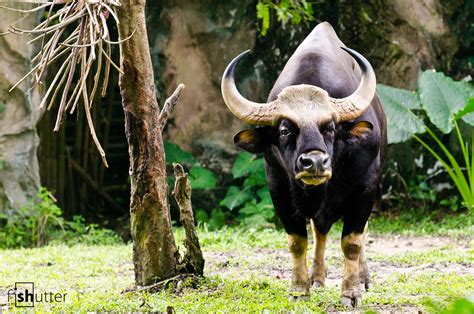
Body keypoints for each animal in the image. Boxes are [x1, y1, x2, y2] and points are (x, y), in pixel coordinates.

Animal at [220, 22, 386, 306]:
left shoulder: (365, 187)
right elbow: (297, 241)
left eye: (330, 128)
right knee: (320, 228)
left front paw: (351, 292)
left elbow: (352, 241)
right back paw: (317, 277)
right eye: (285, 130)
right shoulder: (279, 190)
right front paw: (299, 288)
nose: (315, 162)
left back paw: (363, 278)